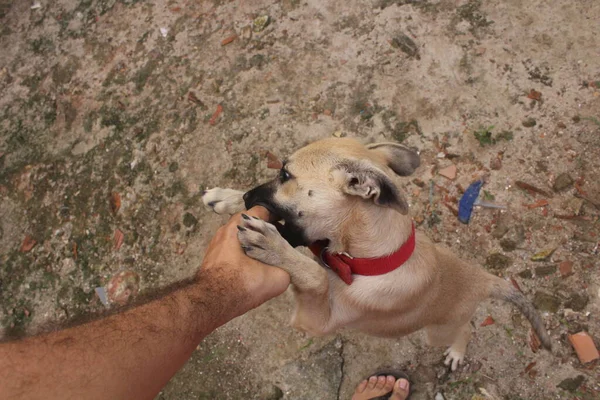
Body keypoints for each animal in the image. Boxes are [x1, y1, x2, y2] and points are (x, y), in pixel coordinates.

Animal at [204, 138, 552, 368]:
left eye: (286, 175)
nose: (247, 197)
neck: (364, 258)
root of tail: (482, 278)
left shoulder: (315, 322)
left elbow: (315, 275)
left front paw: (273, 246)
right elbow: (314, 265)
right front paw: (226, 197)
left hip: (439, 331)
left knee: (465, 330)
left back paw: (456, 352)